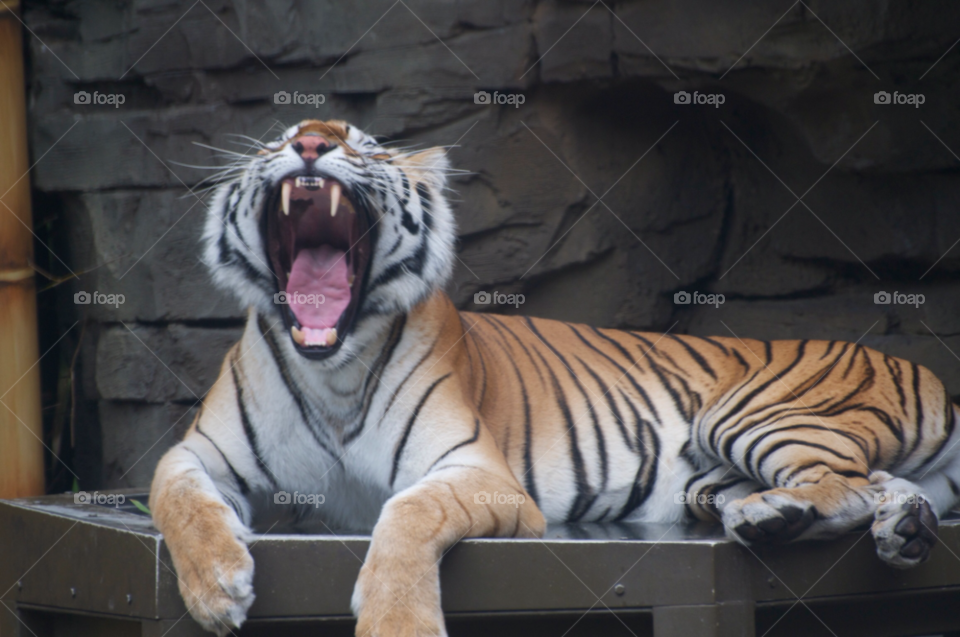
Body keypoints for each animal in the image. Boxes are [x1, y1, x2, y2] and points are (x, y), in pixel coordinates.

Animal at [151, 118, 960, 636]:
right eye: (277, 138)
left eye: (363, 143)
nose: (311, 143)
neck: (334, 369)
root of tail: (924, 373)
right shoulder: (201, 454)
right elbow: (176, 497)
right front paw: (216, 587)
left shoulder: (477, 473)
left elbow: (407, 514)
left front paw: (397, 625)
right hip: (718, 471)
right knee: (875, 483)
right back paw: (894, 527)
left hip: (751, 416)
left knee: (844, 481)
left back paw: (778, 516)